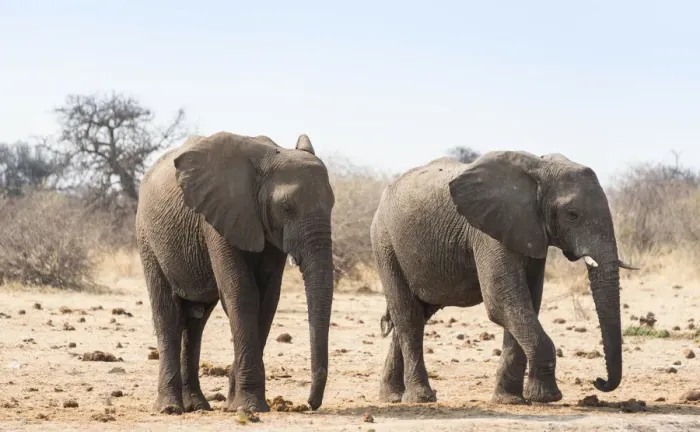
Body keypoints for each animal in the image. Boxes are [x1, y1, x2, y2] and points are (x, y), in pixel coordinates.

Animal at [135, 131, 335, 414]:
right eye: (286, 207)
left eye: (332, 205)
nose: (309, 404)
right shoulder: (220, 216)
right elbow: (242, 294)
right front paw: (249, 407)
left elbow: (268, 299)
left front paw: (236, 404)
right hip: (147, 236)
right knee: (167, 313)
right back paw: (170, 408)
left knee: (194, 322)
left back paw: (197, 405)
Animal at [370, 151, 638, 405]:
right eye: (572, 214)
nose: (599, 381)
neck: (541, 169)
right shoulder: (488, 231)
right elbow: (504, 302)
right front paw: (547, 397)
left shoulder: (528, 231)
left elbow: (526, 303)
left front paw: (512, 399)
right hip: (385, 244)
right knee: (409, 317)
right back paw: (420, 398)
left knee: (416, 315)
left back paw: (392, 396)